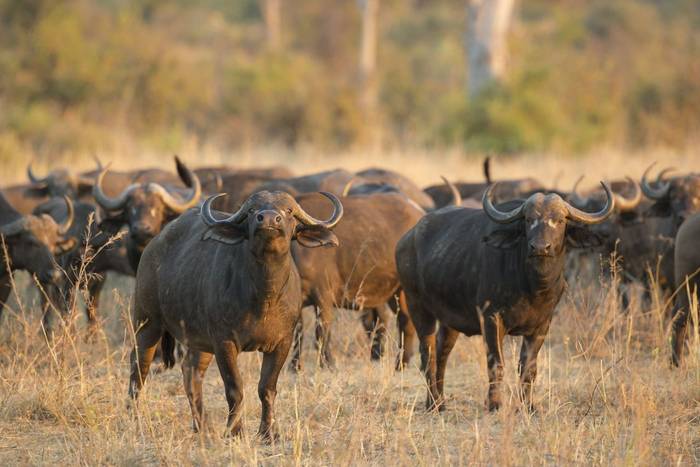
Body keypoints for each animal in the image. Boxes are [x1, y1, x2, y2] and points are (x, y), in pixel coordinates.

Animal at [128, 190, 342, 439]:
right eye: (251, 210)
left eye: (289, 211)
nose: (268, 219)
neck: (265, 296)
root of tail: (153, 245)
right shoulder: (224, 342)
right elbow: (235, 388)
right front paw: (235, 431)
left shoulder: (282, 343)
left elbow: (267, 388)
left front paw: (268, 433)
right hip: (147, 323)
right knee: (139, 368)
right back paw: (134, 420)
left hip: (199, 342)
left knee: (190, 372)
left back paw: (202, 427)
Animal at [396, 183, 613, 412]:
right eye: (528, 220)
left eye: (560, 220)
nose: (540, 248)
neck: (533, 287)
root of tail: (406, 239)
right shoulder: (491, 319)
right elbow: (496, 363)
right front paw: (495, 403)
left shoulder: (543, 325)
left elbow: (529, 368)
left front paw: (528, 405)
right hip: (417, 306)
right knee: (427, 354)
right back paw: (435, 403)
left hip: (449, 321)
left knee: (442, 353)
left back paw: (438, 401)